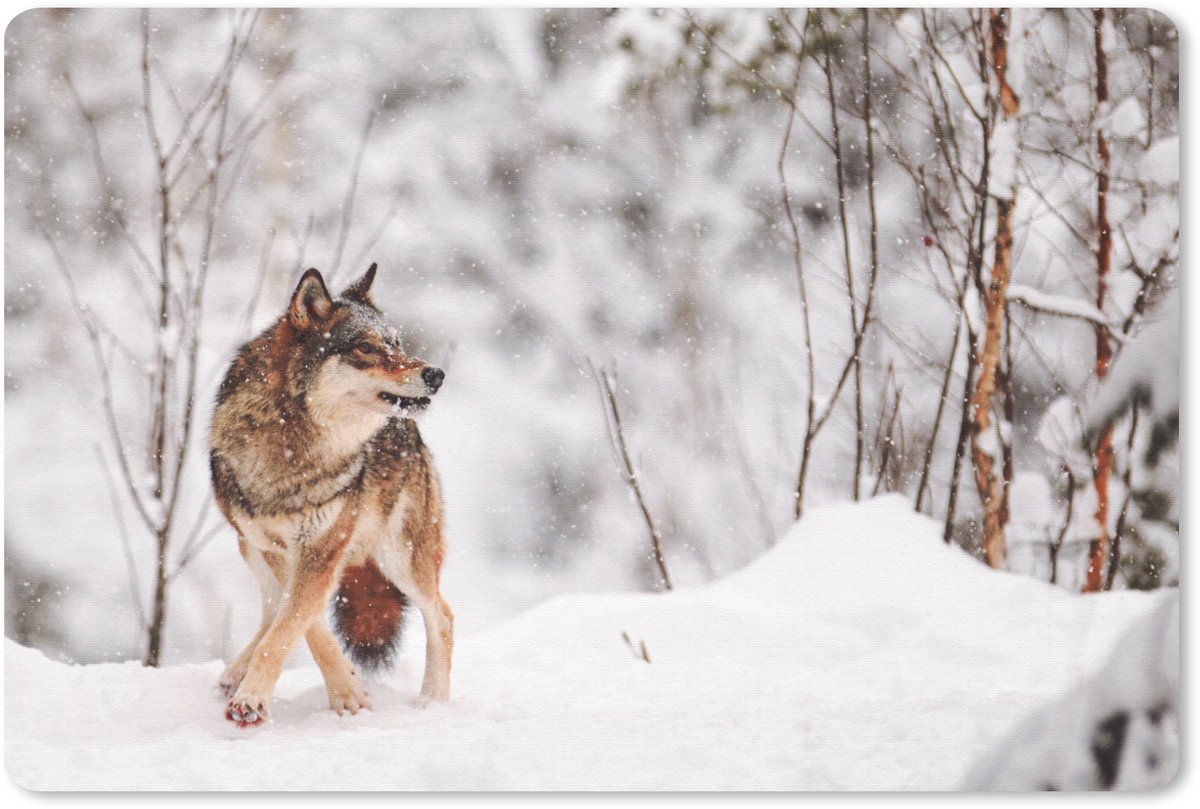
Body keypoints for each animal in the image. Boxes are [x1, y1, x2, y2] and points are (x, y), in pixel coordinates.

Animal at [210, 263, 452, 727]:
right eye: (366, 348)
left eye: (397, 343)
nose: (435, 374)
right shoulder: (278, 548)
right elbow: (301, 625)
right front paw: (346, 690)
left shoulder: (321, 549)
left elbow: (290, 627)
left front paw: (255, 700)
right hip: (248, 546)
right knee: (270, 607)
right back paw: (235, 671)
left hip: (401, 559)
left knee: (443, 616)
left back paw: (433, 702)